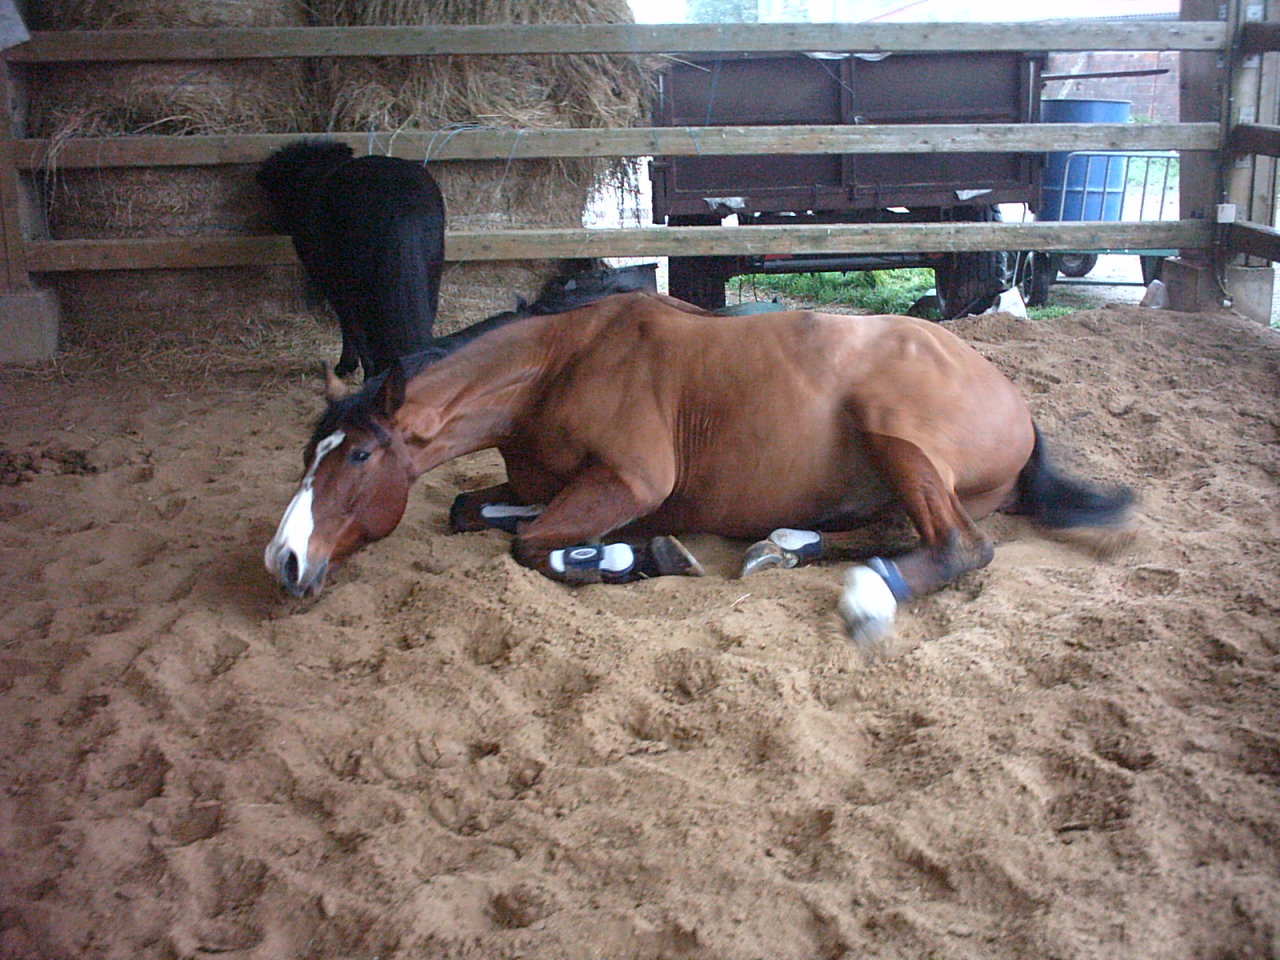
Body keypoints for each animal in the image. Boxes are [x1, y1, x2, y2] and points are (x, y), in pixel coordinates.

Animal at [262, 293, 1131, 650]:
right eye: (309, 455)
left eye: (361, 455)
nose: (284, 561)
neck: (558, 368)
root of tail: (1014, 402)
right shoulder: (542, 486)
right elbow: (471, 512)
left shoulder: (629, 482)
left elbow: (534, 545)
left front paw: (638, 555)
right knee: (894, 530)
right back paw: (788, 546)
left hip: (896, 433)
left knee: (957, 546)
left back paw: (866, 595)